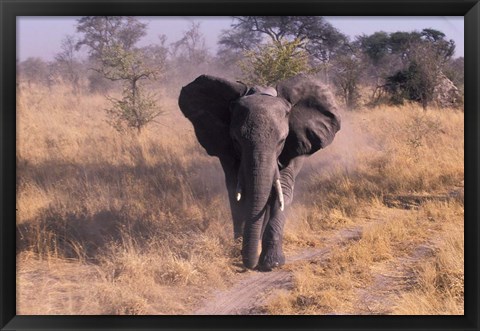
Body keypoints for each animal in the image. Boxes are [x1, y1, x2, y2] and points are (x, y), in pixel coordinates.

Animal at [178, 74, 340, 272]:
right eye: (236, 140)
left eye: (282, 141)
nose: (248, 265)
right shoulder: (226, 149)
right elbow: (237, 191)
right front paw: (238, 251)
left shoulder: (295, 146)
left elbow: (283, 191)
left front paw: (272, 263)